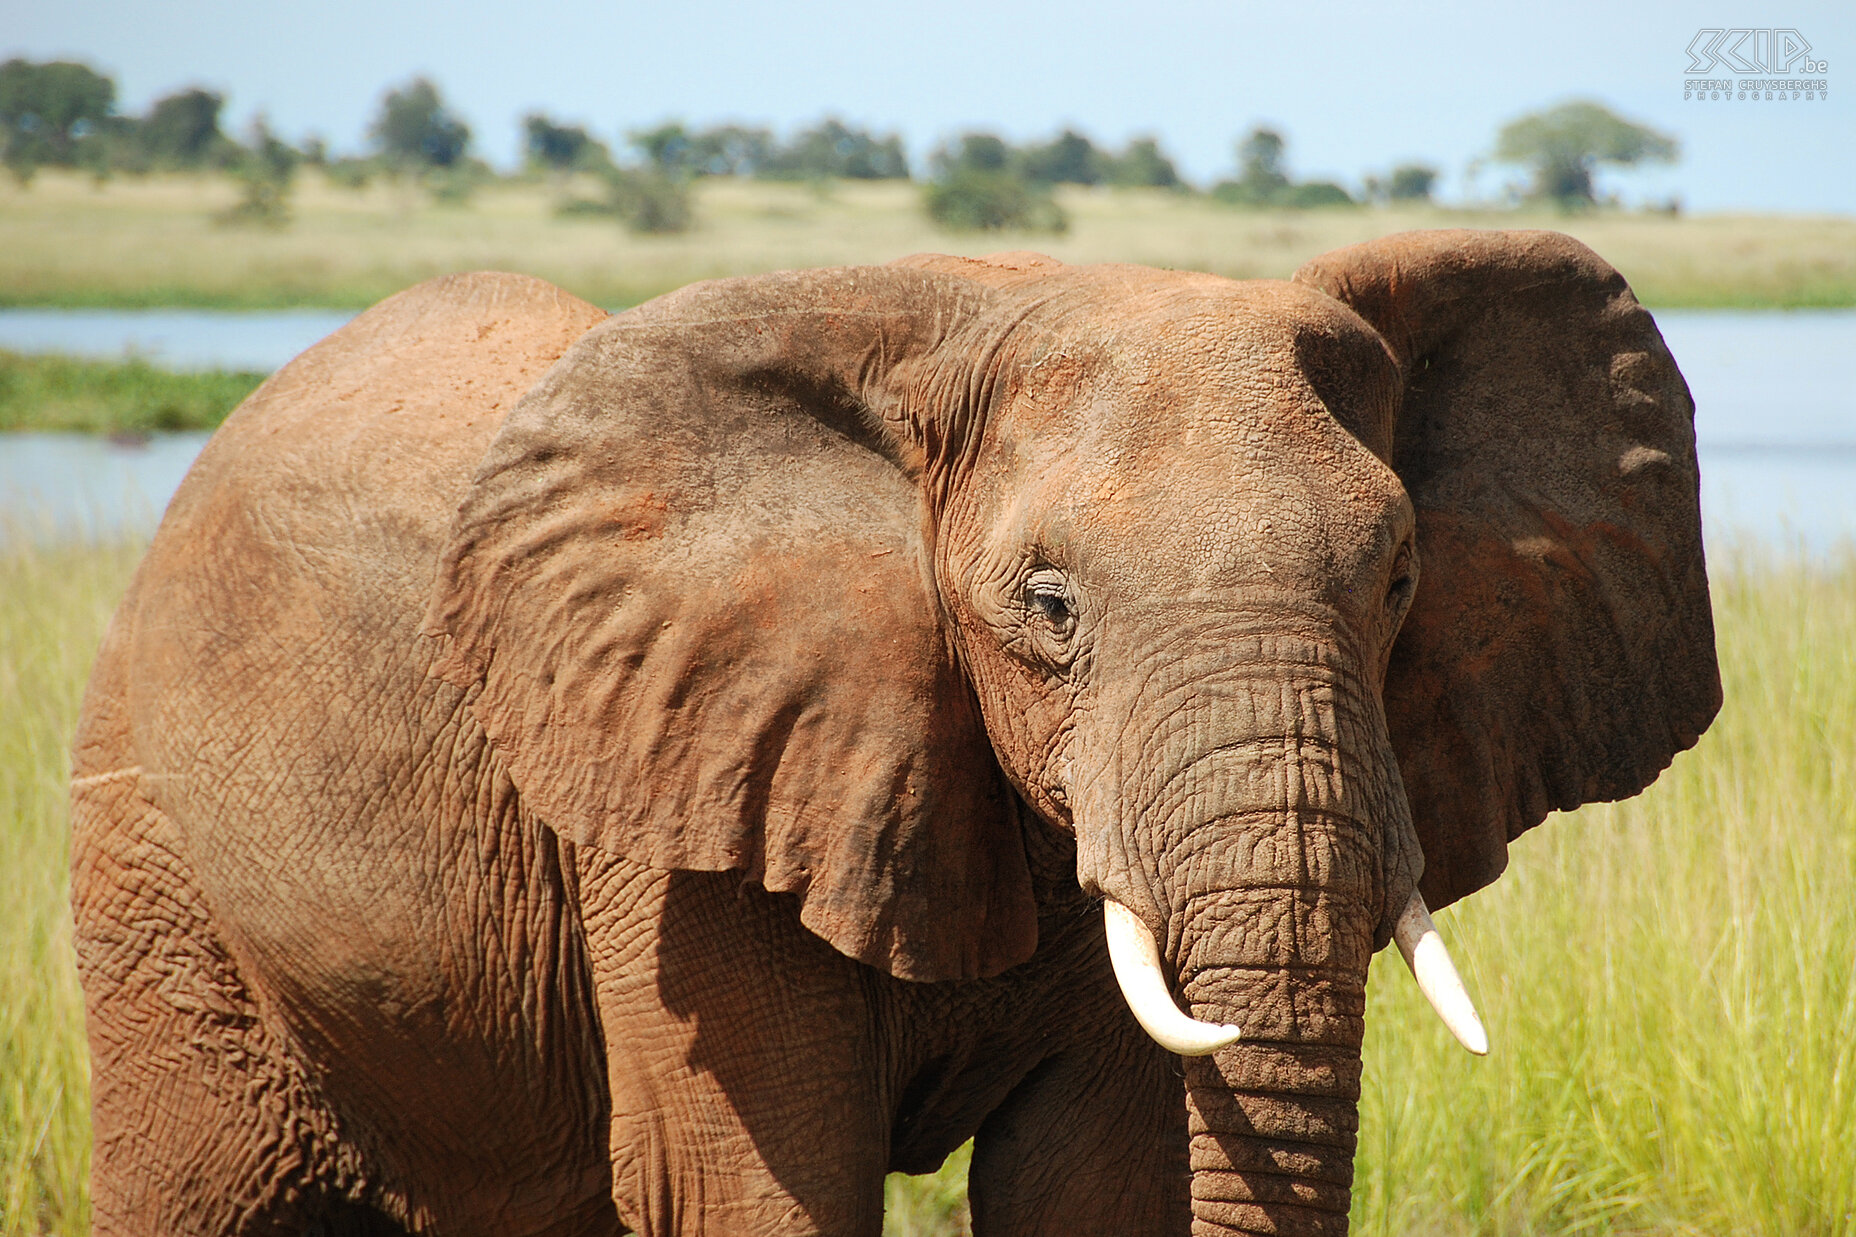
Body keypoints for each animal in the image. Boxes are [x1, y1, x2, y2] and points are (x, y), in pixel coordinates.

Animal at [72, 231, 1722, 1233]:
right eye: (1049, 603)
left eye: (1398, 583)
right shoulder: (677, 805)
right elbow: (751, 1188)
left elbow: (1095, 1185)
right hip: (148, 839)